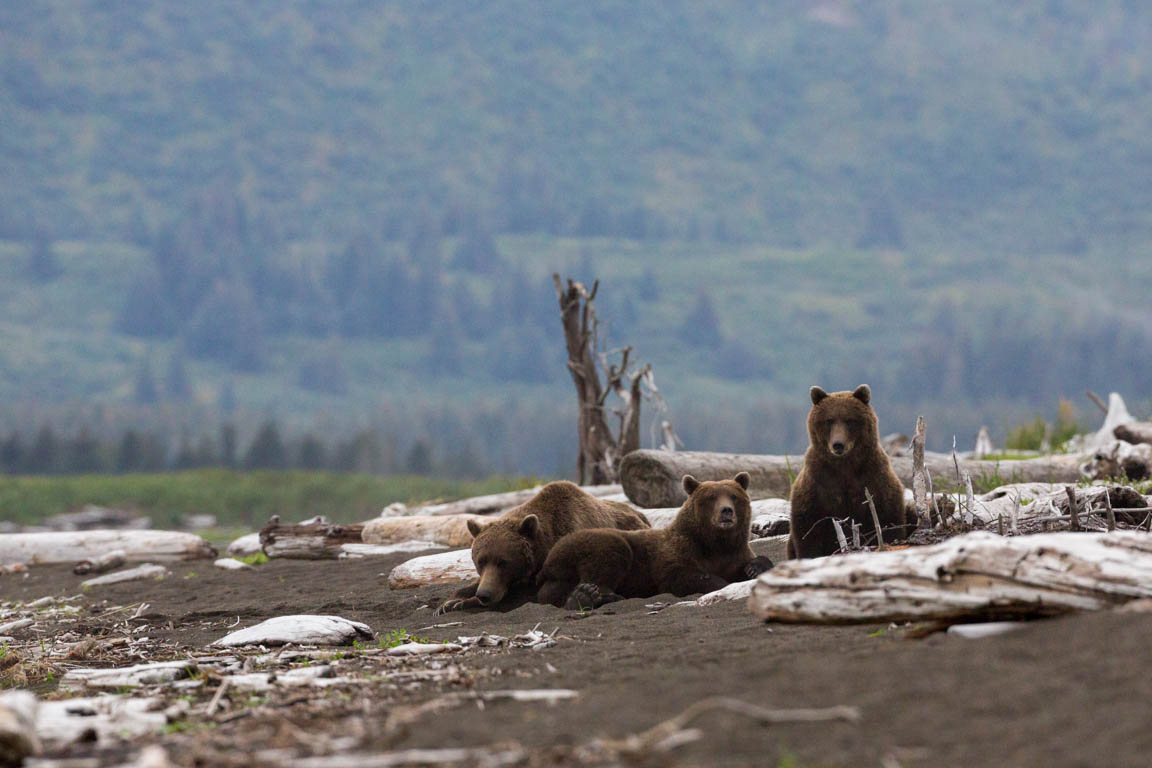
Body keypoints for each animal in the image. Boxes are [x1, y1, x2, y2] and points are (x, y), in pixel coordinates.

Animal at [433, 483, 649, 617]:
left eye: (503, 562)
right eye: (480, 561)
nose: (484, 595)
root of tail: (642, 515)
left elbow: (529, 595)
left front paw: (462, 603)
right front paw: (447, 604)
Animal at [532, 472, 769, 607]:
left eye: (734, 496)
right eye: (711, 497)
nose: (726, 511)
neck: (714, 543)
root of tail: (548, 562)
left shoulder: (734, 554)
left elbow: (752, 563)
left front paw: (754, 568)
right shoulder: (674, 555)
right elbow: (681, 575)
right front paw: (720, 583)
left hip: (557, 580)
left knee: (552, 594)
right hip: (584, 545)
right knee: (609, 554)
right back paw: (593, 596)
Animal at [787, 384, 912, 559]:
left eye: (850, 420)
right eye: (829, 420)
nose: (838, 444)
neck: (845, 466)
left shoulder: (874, 478)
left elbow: (889, 520)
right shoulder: (818, 484)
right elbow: (807, 532)